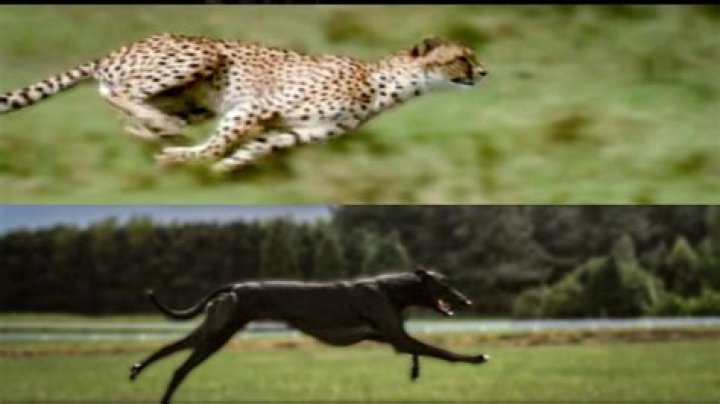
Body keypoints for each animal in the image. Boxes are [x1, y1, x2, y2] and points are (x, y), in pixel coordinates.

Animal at [0, 33, 487, 173]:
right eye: (462, 57)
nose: (483, 73)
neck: (383, 82)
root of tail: (116, 50)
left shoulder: (291, 134)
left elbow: (250, 151)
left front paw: (221, 170)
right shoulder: (253, 107)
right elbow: (220, 143)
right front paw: (186, 159)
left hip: (193, 100)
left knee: (130, 104)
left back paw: (149, 127)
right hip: (201, 55)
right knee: (117, 90)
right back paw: (160, 128)